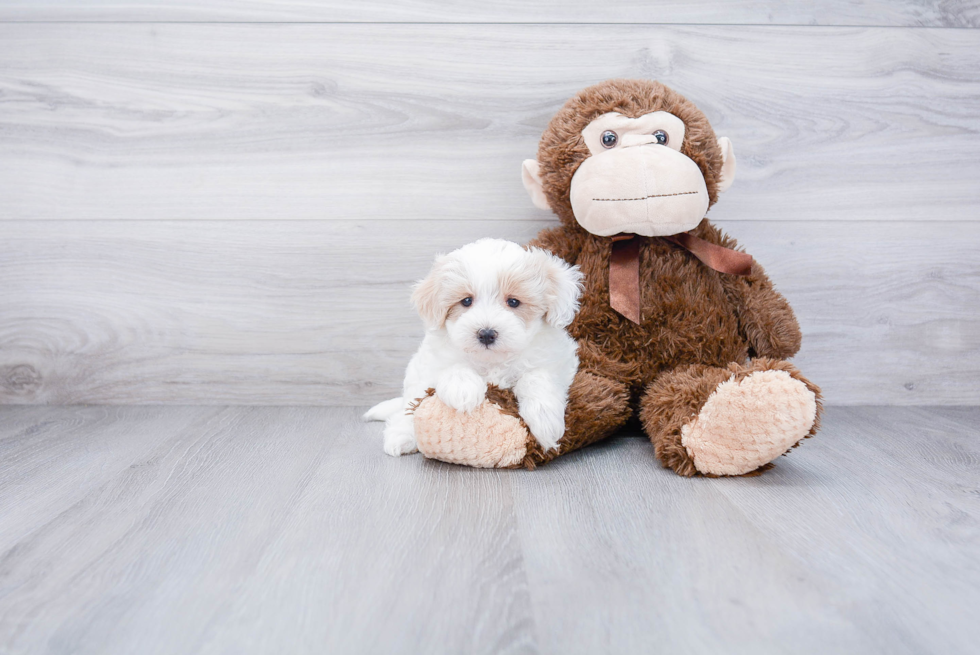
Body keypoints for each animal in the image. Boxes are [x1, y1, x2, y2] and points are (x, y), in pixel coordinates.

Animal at [366, 238, 580, 458]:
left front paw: (545, 420)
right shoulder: (432, 363)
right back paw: (402, 436)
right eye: (466, 301)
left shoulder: (559, 359)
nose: (486, 334)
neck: (492, 361)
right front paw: (463, 390)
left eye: (513, 301)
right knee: (408, 408)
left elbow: (537, 377)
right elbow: (452, 368)